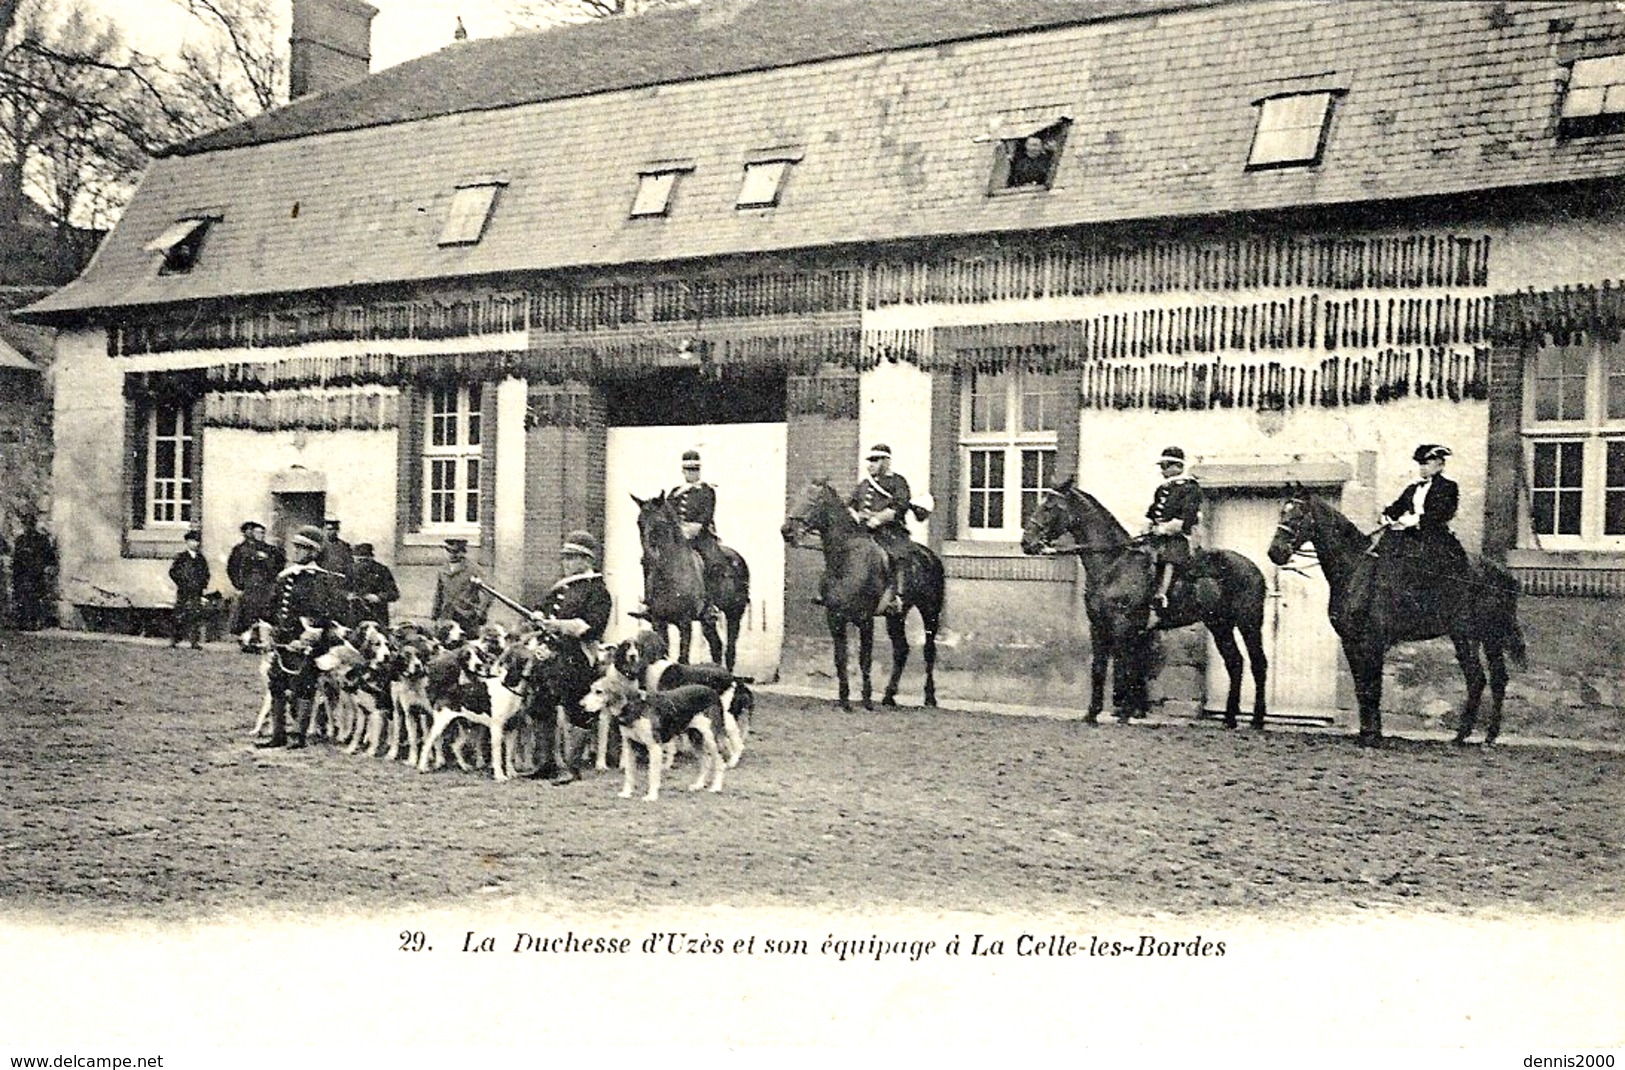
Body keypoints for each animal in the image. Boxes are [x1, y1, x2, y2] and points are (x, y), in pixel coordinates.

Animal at [581, 669, 728, 796]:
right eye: (591, 689)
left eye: (599, 692)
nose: (581, 705)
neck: (635, 707)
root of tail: (713, 692)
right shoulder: (629, 745)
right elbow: (629, 773)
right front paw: (626, 793)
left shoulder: (654, 746)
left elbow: (652, 774)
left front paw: (651, 796)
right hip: (695, 738)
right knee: (706, 761)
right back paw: (698, 785)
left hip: (711, 738)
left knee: (719, 761)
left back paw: (716, 787)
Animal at [633, 491, 747, 666]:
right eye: (639, 522)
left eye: (661, 523)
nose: (647, 559)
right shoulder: (659, 622)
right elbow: (663, 655)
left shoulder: (684, 622)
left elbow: (683, 658)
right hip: (707, 621)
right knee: (716, 646)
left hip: (734, 613)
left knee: (730, 651)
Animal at [780, 481, 949, 712]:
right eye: (797, 496)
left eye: (813, 501)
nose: (786, 531)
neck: (846, 560)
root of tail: (931, 556)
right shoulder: (835, 619)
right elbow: (840, 659)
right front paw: (844, 700)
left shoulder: (865, 619)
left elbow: (865, 659)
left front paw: (867, 699)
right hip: (896, 616)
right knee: (901, 649)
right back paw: (888, 696)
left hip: (930, 611)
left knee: (929, 650)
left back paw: (930, 698)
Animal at [1014, 474, 1267, 725]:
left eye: (1049, 507)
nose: (1027, 542)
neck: (1114, 563)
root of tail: (1253, 568)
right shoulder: (1098, 626)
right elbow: (1099, 667)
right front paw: (1092, 713)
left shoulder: (1123, 625)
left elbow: (1125, 667)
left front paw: (1125, 712)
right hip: (1219, 624)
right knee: (1235, 662)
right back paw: (1230, 718)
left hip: (1248, 623)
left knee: (1258, 663)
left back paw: (1256, 719)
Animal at [1261, 484, 1527, 741]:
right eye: (1282, 512)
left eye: (1298, 515)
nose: (1275, 552)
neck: (1355, 570)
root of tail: (1501, 573)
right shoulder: (1350, 641)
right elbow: (1361, 687)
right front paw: (1366, 730)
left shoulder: (1373, 640)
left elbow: (1373, 687)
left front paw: (1373, 734)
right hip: (1467, 636)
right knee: (1482, 678)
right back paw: (1468, 735)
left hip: (1485, 635)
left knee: (1491, 679)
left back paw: (1483, 735)